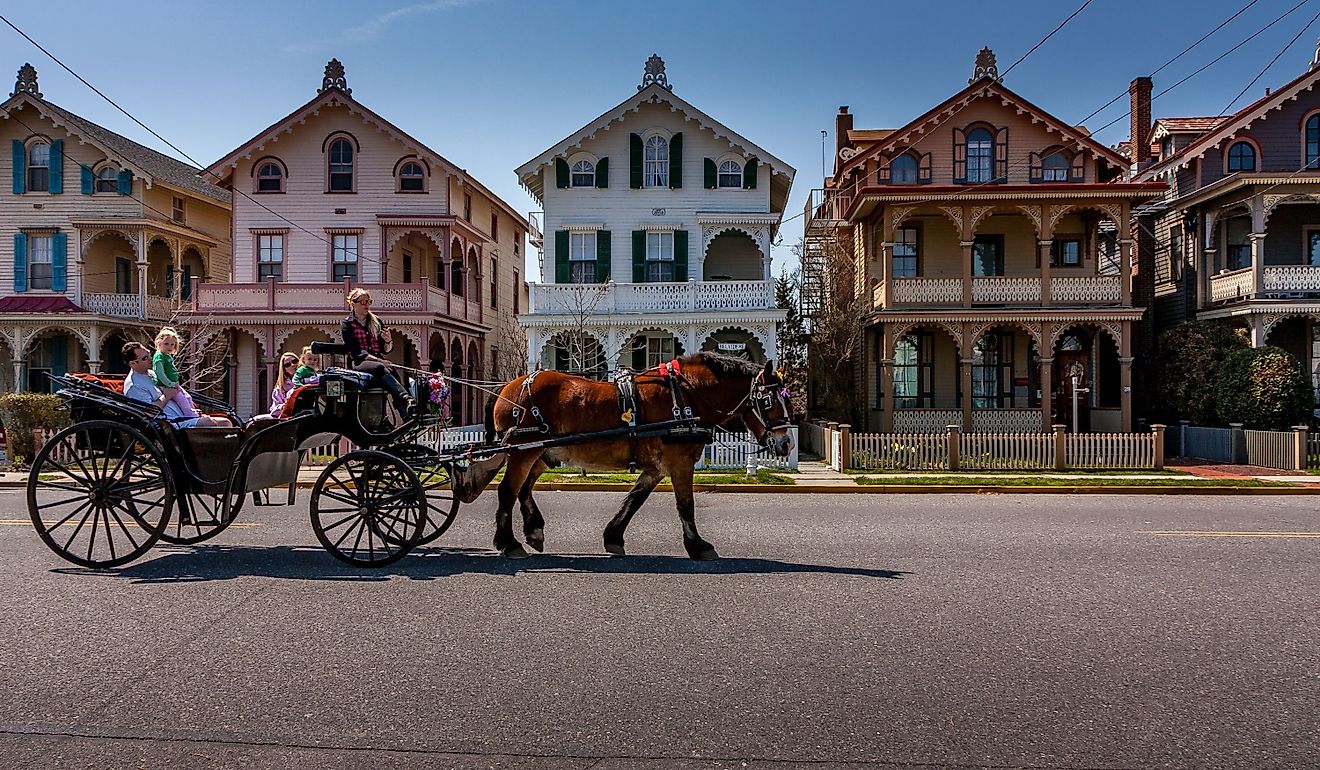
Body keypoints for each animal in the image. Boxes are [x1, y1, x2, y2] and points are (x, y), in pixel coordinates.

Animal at [467, 353, 786, 560]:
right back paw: (509, 543)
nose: (785, 444)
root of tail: (508, 387)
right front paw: (698, 546)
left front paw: (613, 537)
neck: (685, 398)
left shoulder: (657, 467)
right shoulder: (680, 461)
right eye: (768, 401)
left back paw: (533, 531)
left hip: (542, 452)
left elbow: (634, 500)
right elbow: (686, 505)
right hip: (525, 449)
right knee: (508, 490)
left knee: (524, 488)